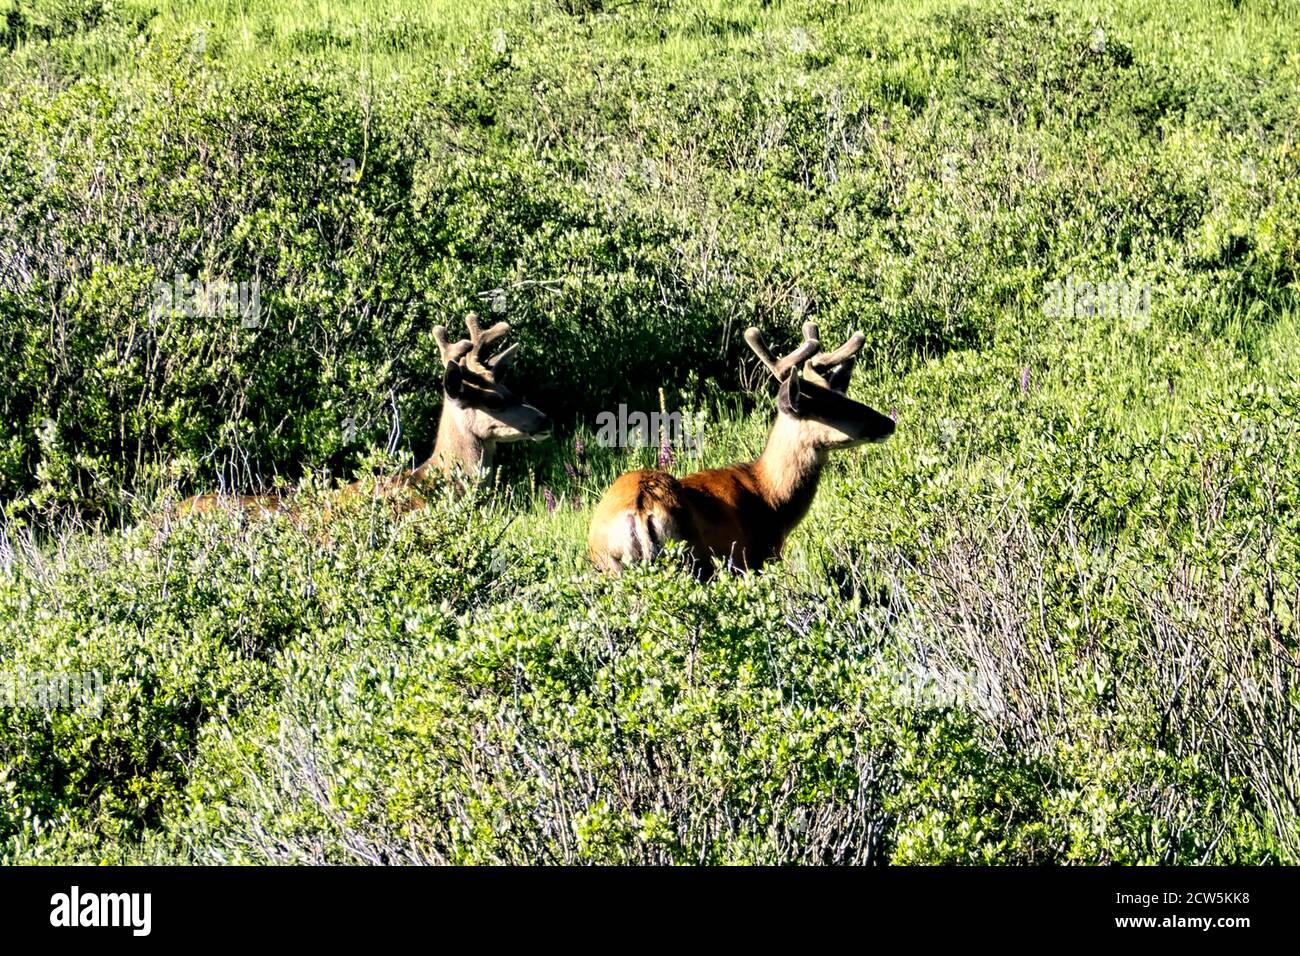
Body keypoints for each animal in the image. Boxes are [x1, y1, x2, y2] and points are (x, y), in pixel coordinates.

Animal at [590, 321, 894, 580]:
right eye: (828, 406)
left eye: (841, 395)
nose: (888, 422)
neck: (771, 497)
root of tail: (641, 511)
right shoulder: (758, 557)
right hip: (693, 562)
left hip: (611, 567)